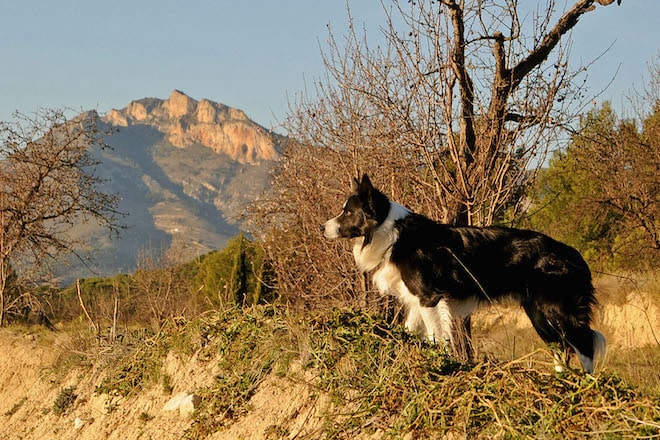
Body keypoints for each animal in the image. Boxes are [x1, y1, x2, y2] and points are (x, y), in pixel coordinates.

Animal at [322, 174, 604, 372]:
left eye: (348, 212)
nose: (322, 227)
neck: (391, 232)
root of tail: (574, 254)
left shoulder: (429, 297)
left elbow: (436, 336)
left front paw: (440, 362)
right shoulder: (414, 299)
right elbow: (412, 331)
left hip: (557, 308)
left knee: (583, 343)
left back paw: (586, 384)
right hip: (538, 313)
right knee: (560, 348)